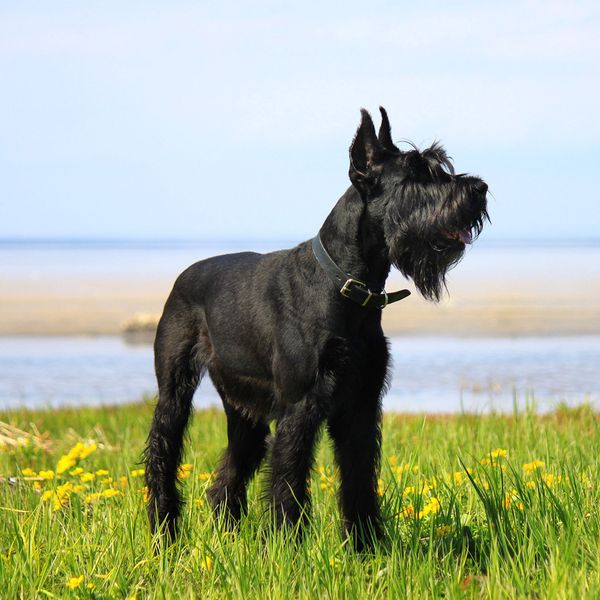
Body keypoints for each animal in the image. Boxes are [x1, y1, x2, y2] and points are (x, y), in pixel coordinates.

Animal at [144, 106, 488, 548]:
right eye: (416, 174)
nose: (479, 188)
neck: (348, 286)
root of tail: (184, 275)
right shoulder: (300, 405)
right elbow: (289, 478)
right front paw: (286, 544)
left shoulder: (361, 406)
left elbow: (359, 477)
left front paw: (367, 544)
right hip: (174, 391)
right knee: (162, 454)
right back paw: (164, 532)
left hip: (244, 410)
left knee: (228, 475)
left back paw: (229, 538)